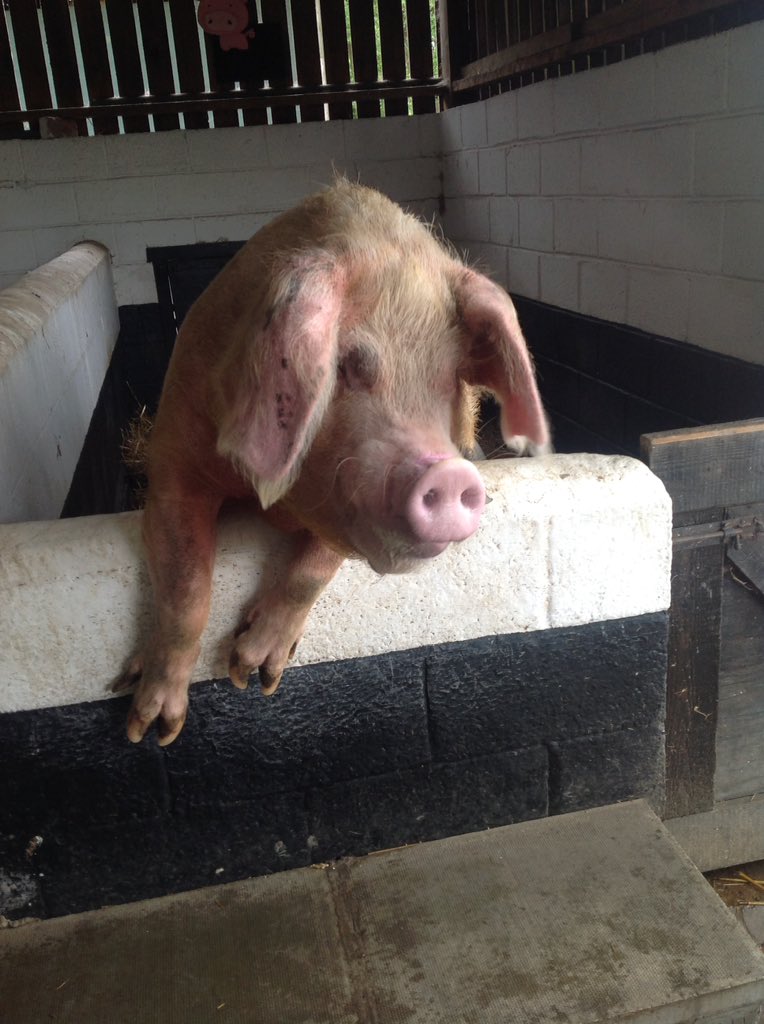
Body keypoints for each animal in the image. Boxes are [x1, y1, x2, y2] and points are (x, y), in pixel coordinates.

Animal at [116, 180, 550, 745]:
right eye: (344, 366)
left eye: (451, 378)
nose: (449, 472)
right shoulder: (173, 465)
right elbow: (186, 584)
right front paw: (151, 730)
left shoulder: (344, 506)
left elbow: (314, 567)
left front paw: (255, 674)